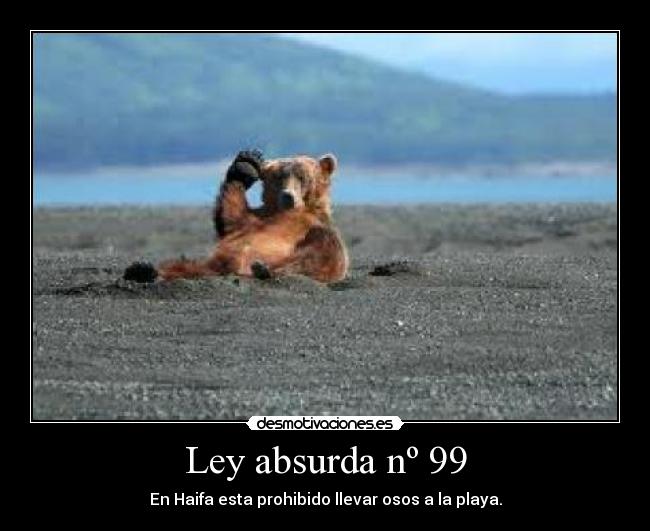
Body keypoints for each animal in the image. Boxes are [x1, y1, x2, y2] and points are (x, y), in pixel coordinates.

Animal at [124, 150, 349, 284]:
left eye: (302, 177)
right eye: (279, 177)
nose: (288, 196)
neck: (287, 212)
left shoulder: (313, 226)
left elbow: (325, 253)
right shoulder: (254, 220)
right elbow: (230, 216)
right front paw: (246, 163)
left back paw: (264, 269)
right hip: (205, 265)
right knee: (180, 266)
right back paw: (142, 270)